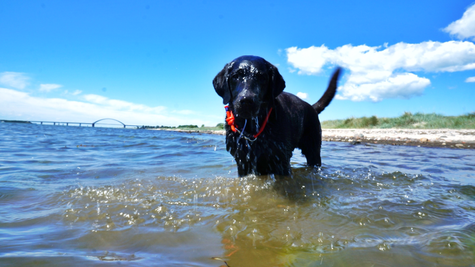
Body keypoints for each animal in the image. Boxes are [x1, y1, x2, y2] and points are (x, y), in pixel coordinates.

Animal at [213, 56, 342, 177]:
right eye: (235, 76)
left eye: (262, 77)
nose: (246, 100)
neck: (251, 128)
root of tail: (311, 107)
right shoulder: (243, 161)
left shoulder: (281, 160)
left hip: (313, 151)